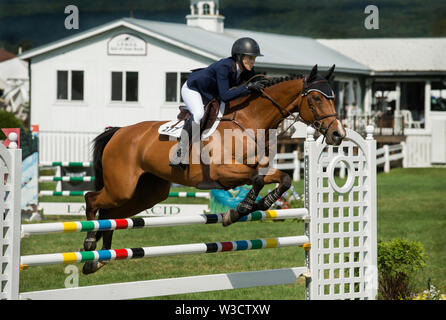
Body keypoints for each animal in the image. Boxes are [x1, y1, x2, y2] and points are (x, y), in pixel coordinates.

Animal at [81, 63, 344, 274]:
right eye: (317, 99)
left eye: (333, 98)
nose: (338, 134)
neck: (249, 121)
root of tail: (118, 132)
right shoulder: (223, 173)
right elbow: (257, 180)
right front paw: (240, 210)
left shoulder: (259, 168)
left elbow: (283, 180)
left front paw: (260, 204)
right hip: (122, 187)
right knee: (92, 199)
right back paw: (90, 244)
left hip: (148, 193)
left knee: (112, 214)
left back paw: (97, 259)